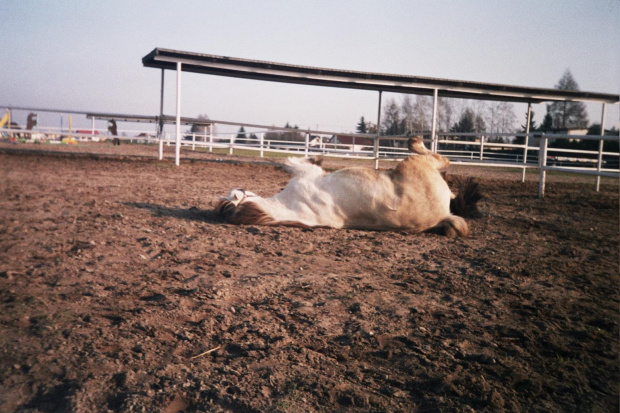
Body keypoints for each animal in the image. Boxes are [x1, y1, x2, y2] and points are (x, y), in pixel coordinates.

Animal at [216, 137, 482, 237]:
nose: (238, 188)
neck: (286, 207)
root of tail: (443, 214)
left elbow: (291, 161)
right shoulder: (305, 174)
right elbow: (292, 162)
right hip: (416, 164)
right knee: (440, 159)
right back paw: (414, 141)